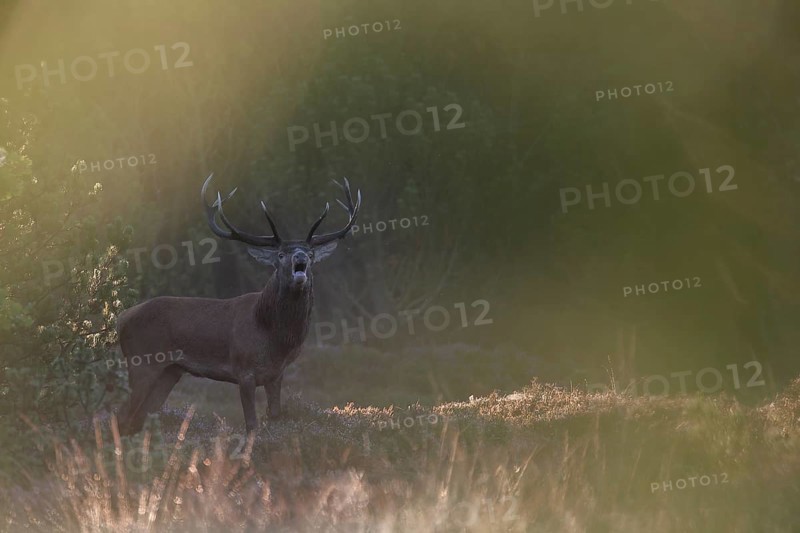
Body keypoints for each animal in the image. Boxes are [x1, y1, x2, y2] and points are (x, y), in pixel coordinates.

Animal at [115, 173, 361, 435]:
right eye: (281, 254)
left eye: (311, 253)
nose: (300, 256)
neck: (272, 334)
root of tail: (121, 318)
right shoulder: (244, 370)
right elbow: (251, 424)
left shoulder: (277, 374)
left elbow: (275, 416)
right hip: (141, 361)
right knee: (122, 414)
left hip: (170, 371)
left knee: (140, 417)